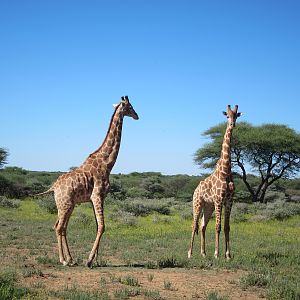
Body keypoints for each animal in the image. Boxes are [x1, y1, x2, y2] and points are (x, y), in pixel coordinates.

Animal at [37, 96, 139, 268]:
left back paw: (71, 259)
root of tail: (53, 187)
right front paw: (90, 260)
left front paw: (96, 259)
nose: (137, 115)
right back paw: (63, 260)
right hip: (64, 204)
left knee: (62, 227)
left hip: (68, 205)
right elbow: (102, 226)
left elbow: (98, 225)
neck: (107, 163)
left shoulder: (97, 198)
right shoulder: (96, 195)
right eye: (130, 106)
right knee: (59, 227)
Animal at [189, 104, 243, 258]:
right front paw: (217, 253)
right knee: (194, 225)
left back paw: (203, 253)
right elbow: (218, 227)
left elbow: (227, 227)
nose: (232, 124)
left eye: (236, 116)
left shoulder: (229, 200)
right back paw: (190, 253)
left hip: (208, 206)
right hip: (197, 203)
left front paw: (228, 255)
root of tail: (195, 190)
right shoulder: (219, 199)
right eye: (227, 116)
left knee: (202, 226)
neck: (226, 171)